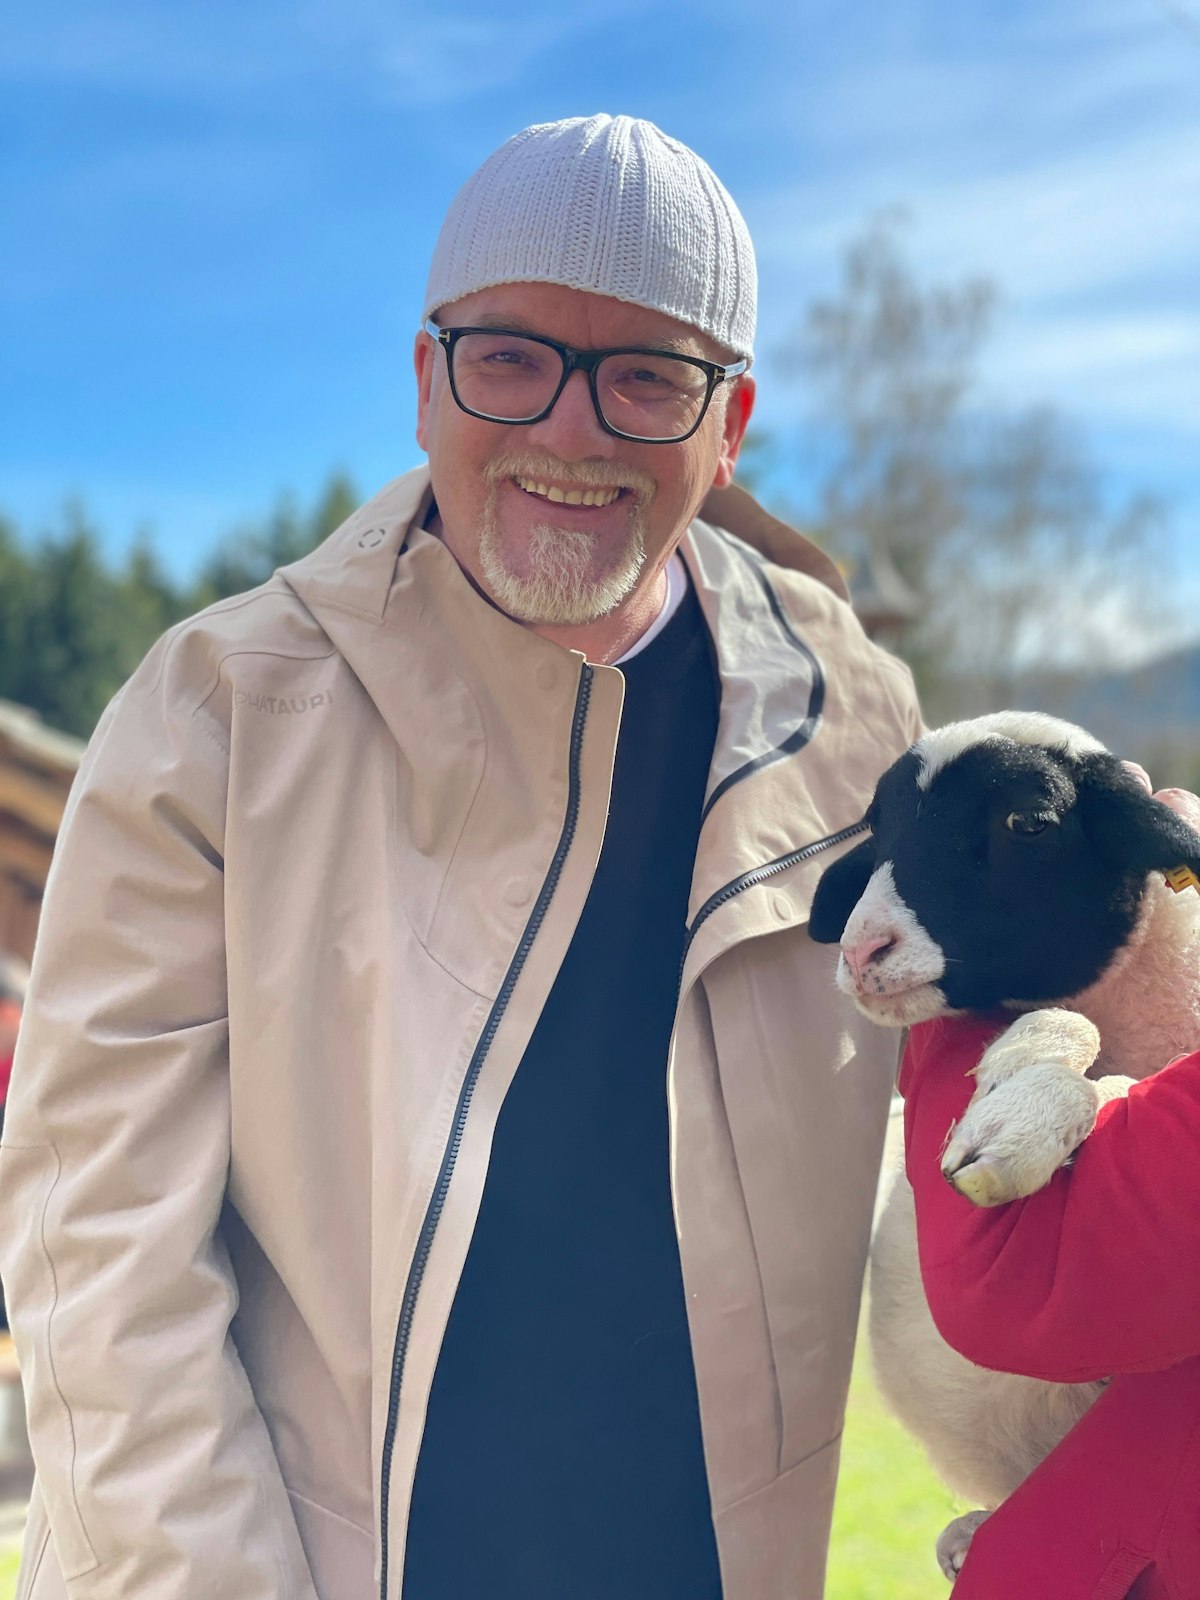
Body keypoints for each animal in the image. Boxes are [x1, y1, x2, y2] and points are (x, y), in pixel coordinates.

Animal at [808, 711, 1200, 1579]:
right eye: (877, 825)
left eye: (1028, 824)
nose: (859, 952)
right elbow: (1077, 1037)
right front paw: (1016, 1096)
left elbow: (1120, 1086)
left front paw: (1020, 1121)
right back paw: (965, 1537)